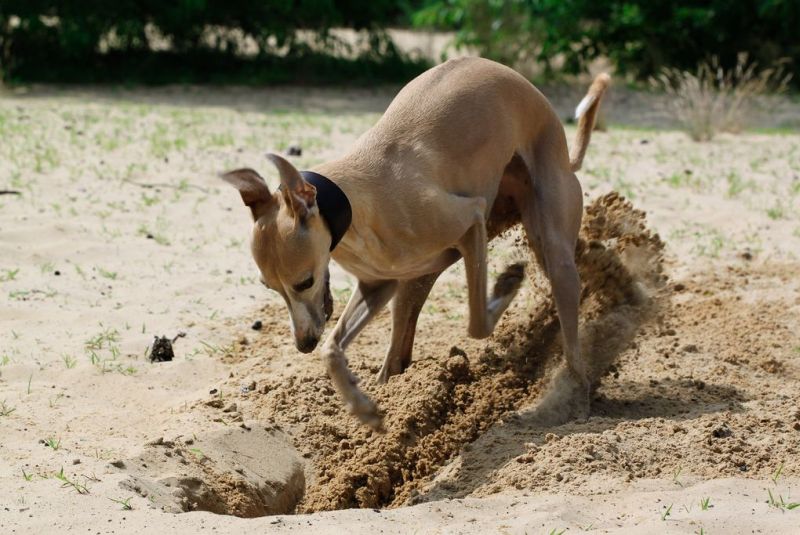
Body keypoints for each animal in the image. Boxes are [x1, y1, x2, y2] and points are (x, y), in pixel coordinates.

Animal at [222, 57, 608, 432]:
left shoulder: (471, 220)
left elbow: (477, 323)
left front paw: (506, 285)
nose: (303, 345)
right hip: (416, 281)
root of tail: (563, 148)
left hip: (552, 250)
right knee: (398, 353)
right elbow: (332, 349)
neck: (357, 203)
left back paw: (575, 399)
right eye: (270, 287)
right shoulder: (378, 285)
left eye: (305, 282)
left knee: (568, 324)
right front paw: (362, 408)